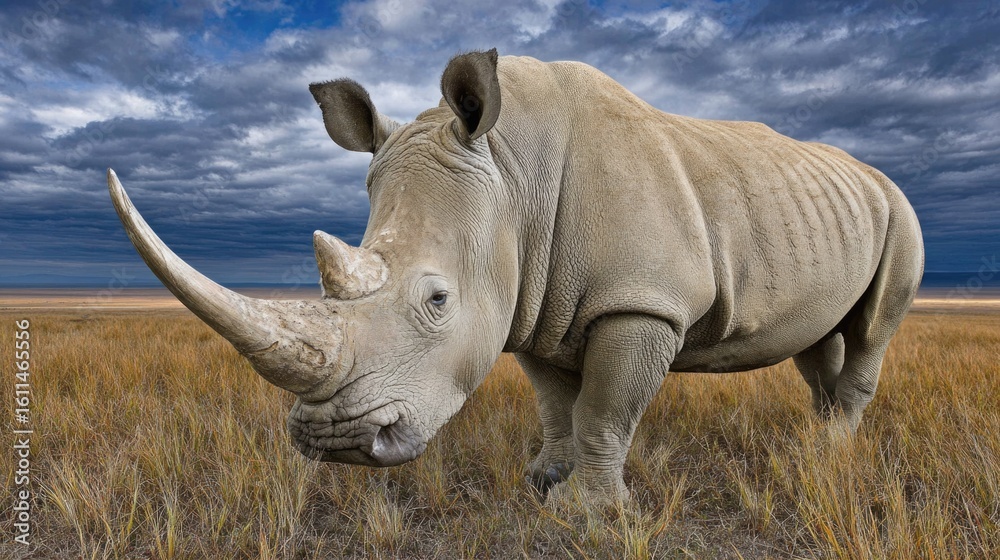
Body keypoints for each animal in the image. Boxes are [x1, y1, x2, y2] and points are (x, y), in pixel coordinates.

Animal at [108, 48, 923, 504]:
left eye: (437, 300)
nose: (334, 442)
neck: (509, 170)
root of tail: (874, 175)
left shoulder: (641, 303)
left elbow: (606, 409)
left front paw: (589, 514)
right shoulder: (535, 301)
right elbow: (558, 405)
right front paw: (542, 482)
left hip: (899, 210)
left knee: (873, 326)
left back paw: (831, 450)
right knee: (819, 336)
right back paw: (815, 439)